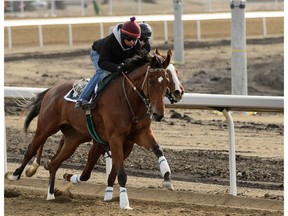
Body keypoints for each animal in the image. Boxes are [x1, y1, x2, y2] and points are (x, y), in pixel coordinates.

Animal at [6, 49, 176, 209]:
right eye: (151, 81)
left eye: (166, 81)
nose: (158, 113)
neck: (129, 101)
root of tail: (52, 89)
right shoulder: (115, 138)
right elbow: (120, 173)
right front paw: (125, 203)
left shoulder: (137, 136)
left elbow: (157, 149)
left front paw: (167, 178)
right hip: (45, 128)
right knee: (31, 150)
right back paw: (14, 175)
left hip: (73, 139)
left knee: (54, 163)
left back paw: (51, 194)